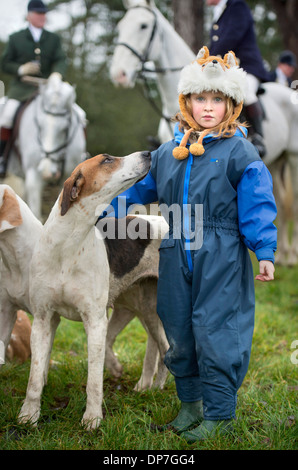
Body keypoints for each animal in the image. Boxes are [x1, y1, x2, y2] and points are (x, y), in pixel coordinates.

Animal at [110, 0, 298, 264]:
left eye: (143, 26)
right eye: (120, 27)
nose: (119, 75)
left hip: (292, 158)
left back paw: (291, 256)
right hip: (275, 161)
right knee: (281, 202)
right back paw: (282, 255)